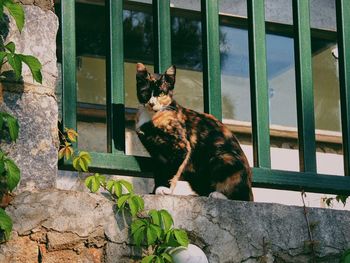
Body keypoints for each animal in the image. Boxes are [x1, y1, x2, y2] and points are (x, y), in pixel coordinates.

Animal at [135, 62, 253, 202]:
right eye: (145, 92)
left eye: (161, 93)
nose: (151, 103)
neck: (151, 116)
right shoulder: (156, 154)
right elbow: (159, 172)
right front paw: (154, 190)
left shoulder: (181, 146)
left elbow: (171, 170)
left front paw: (165, 189)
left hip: (222, 157)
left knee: (241, 196)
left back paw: (218, 194)